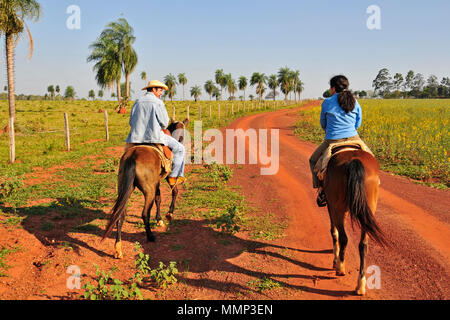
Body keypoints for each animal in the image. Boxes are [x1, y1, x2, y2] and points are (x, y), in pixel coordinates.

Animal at [102, 119, 188, 258]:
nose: (181, 140)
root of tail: (133, 156)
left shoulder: (156, 183)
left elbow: (159, 199)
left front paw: (159, 219)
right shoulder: (167, 177)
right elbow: (174, 191)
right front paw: (169, 213)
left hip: (125, 189)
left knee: (120, 215)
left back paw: (118, 249)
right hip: (148, 191)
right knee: (145, 213)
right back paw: (151, 236)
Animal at [324, 148, 386, 296]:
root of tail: (354, 160)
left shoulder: (331, 205)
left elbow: (334, 231)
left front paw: (335, 259)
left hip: (338, 207)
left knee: (343, 237)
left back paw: (340, 267)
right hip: (369, 208)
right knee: (363, 244)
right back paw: (360, 285)